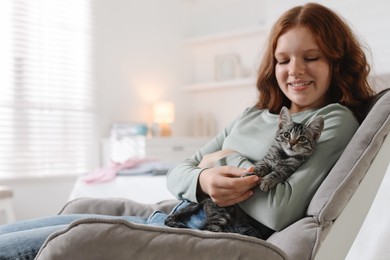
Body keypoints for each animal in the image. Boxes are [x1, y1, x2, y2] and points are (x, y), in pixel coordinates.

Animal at [165, 106, 322, 233]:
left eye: (302, 139)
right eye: (286, 135)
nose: (292, 144)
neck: (283, 155)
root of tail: (205, 199)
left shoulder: (288, 168)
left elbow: (277, 173)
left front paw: (267, 181)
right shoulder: (266, 160)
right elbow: (258, 168)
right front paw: (249, 174)